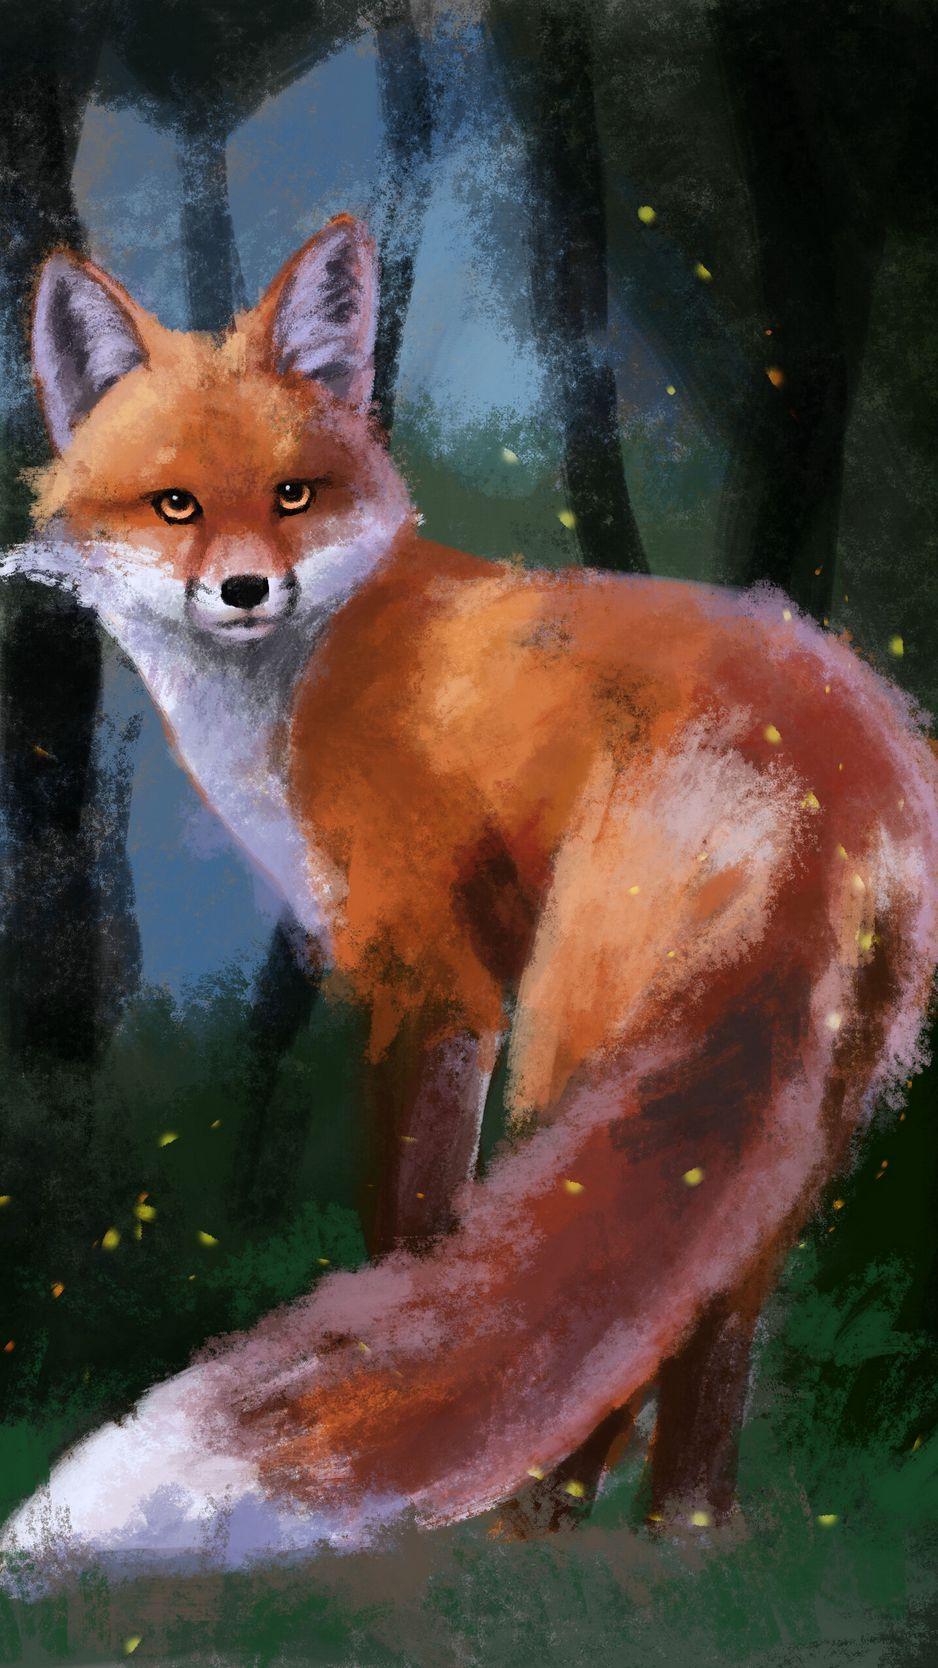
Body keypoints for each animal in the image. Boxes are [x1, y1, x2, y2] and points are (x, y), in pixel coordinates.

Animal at [1, 213, 936, 1572]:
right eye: (175, 505)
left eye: (293, 495)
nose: (245, 591)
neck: (300, 684)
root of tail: (832, 756)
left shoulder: (432, 980)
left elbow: (417, 1235)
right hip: (811, 1103)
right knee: (708, 1309)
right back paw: (683, 1540)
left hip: (570, 1037)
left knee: (597, 1310)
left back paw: (520, 1530)